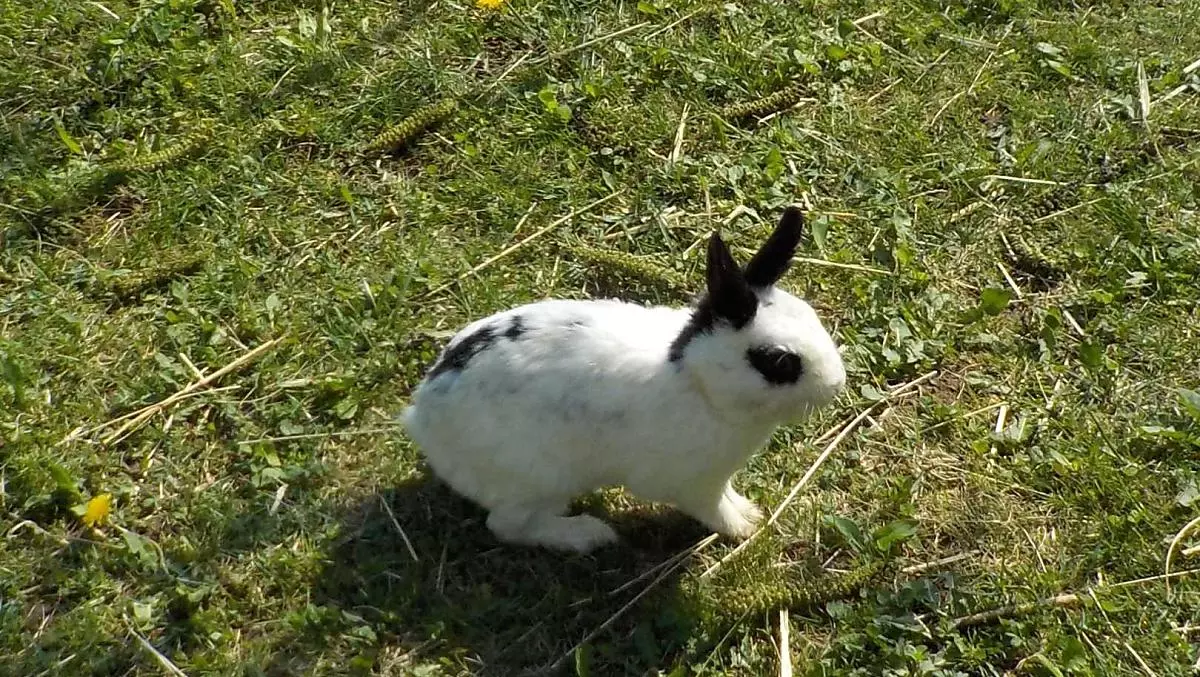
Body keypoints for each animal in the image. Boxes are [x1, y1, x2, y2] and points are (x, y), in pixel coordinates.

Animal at [402, 205, 847, 553]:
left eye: (811, 315)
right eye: (778, 361)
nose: (836, 384)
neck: (698, 382)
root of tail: (422, 417)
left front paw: (750, 511)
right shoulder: (695, 485)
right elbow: (715, 510)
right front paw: (746, 528)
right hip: (537, 481)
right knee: (508, 526)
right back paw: (589, 535)